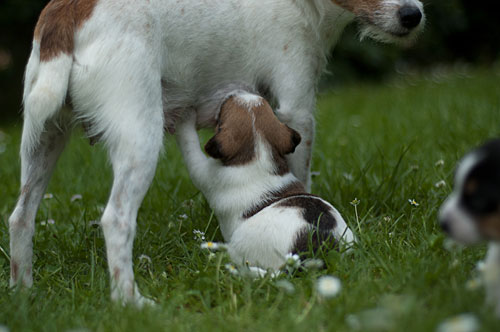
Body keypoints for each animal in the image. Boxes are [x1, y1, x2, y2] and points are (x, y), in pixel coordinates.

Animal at [176, 91, 356, 270]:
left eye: (222, 114)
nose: (236, 91)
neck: (259, 151)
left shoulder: (205, 174)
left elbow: (189, 145)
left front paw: (185, 117)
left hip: (241, 247)